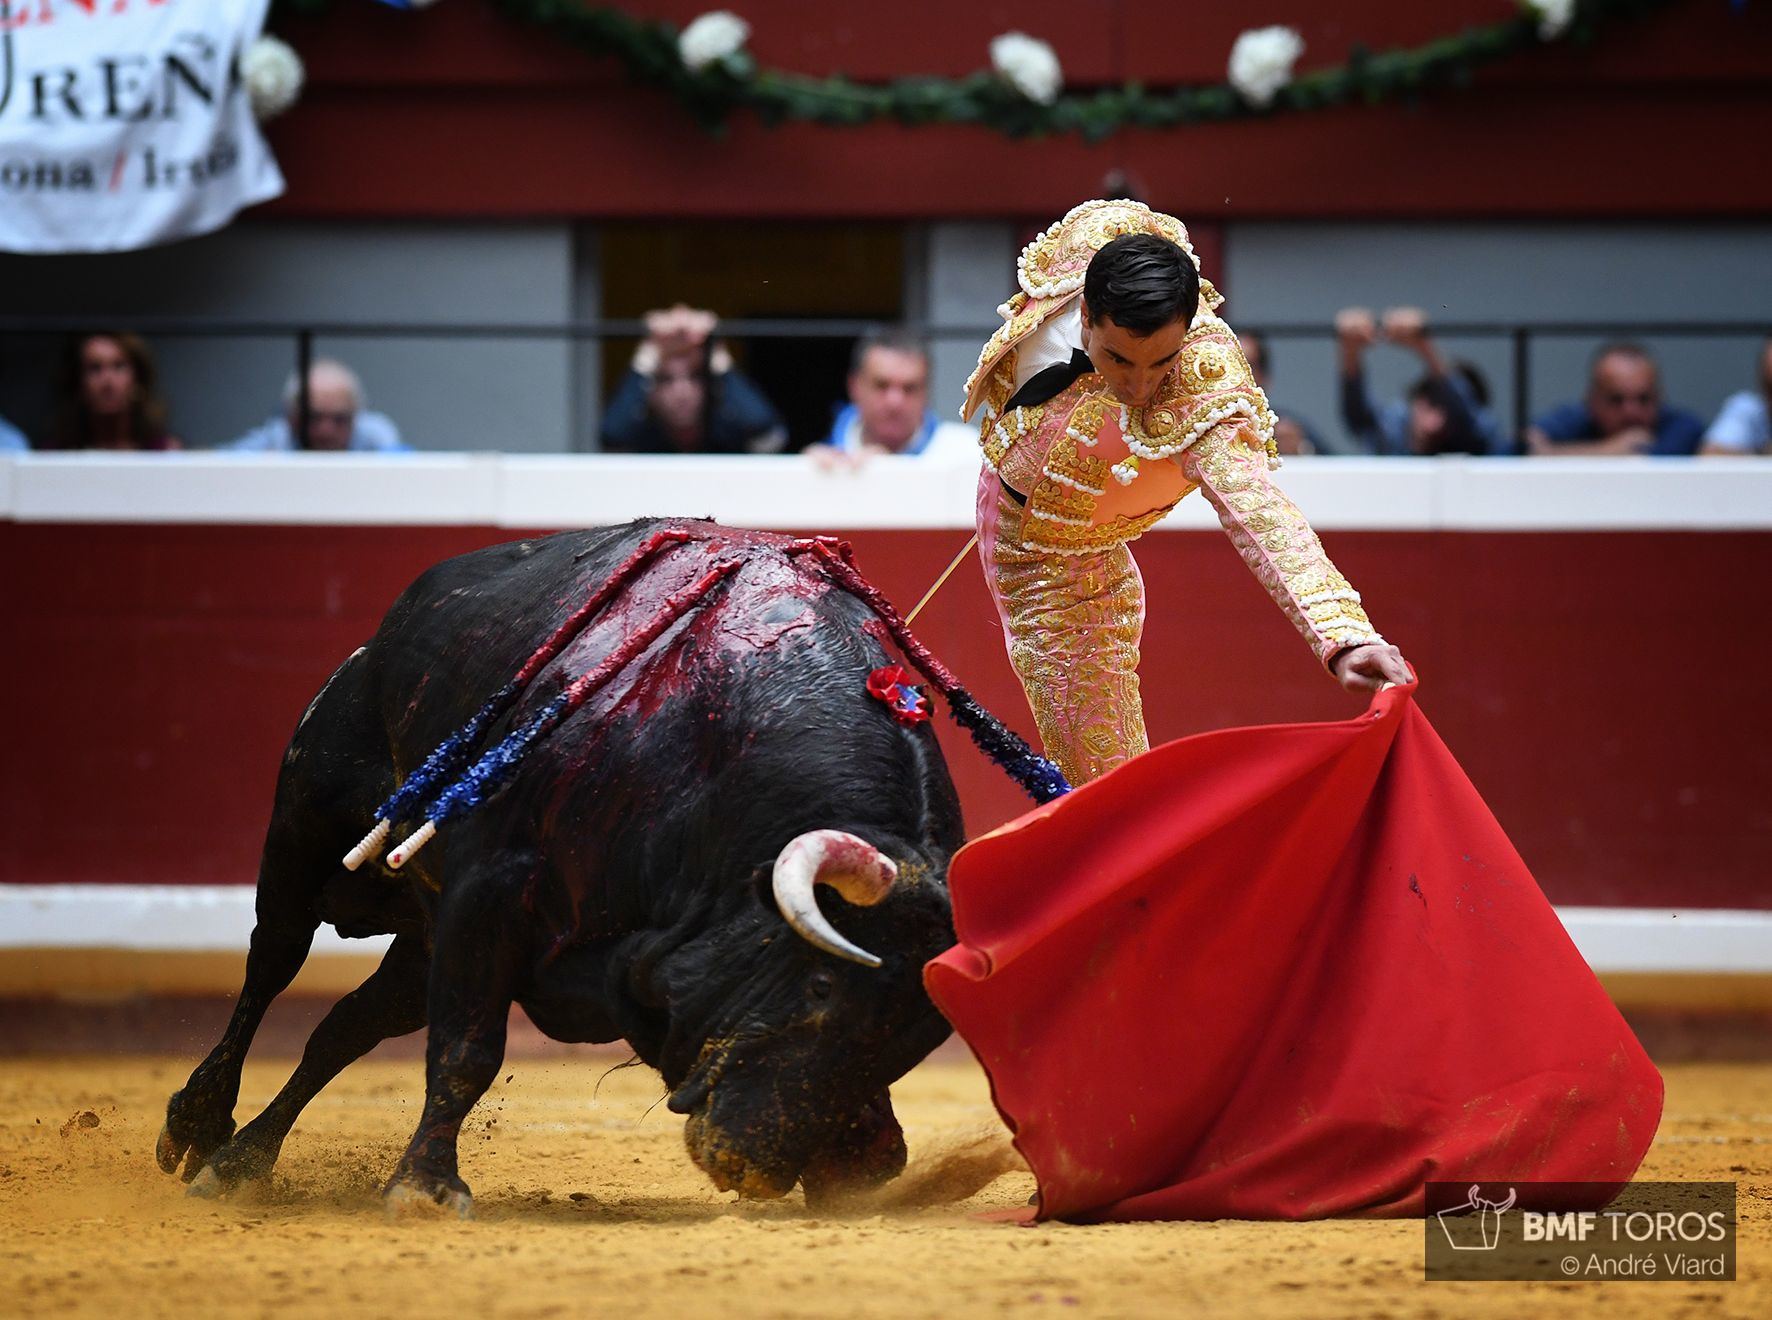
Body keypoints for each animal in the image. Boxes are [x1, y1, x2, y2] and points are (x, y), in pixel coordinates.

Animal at [156, 518, 967, 1216]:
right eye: (824, 983)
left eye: (913, 1037)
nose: (763, 1164)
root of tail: (384, 635)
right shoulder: (489, 892)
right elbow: (468, 1051)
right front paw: (425, 1188)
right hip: (305, 832)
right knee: (270, 963)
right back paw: (197, 1125)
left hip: (422, 934)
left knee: (346, 1025)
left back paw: (242, 1162)